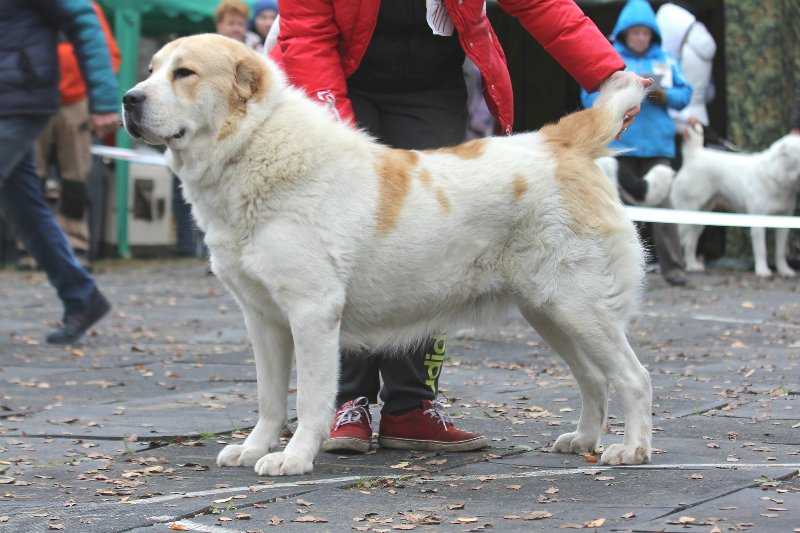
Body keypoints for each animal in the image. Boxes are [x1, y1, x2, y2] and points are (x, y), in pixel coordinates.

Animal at [122, 34, 652, 474]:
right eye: (150, 70)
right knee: (593, 377)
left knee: (633, 376)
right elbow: (270, 399)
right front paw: (254, 449)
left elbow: (310, 397)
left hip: (579, 307)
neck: (254, 146)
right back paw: (582, 439)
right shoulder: (263, 318)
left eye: (184, 73)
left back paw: (631, 449)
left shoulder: (312, 313)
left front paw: (293, 459)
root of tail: (559, 140)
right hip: (549, 312)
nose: (130, 99)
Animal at [668, 123, 800, 276]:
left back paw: (692, 266)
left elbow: (780, 251)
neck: (777, 175)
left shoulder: (785, 220)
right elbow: (761, 249)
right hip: (686, 212)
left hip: (700, 217)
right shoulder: (758, 220)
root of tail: (694, 155)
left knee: (690, 242)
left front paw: (785, 270)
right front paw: (762, 271)